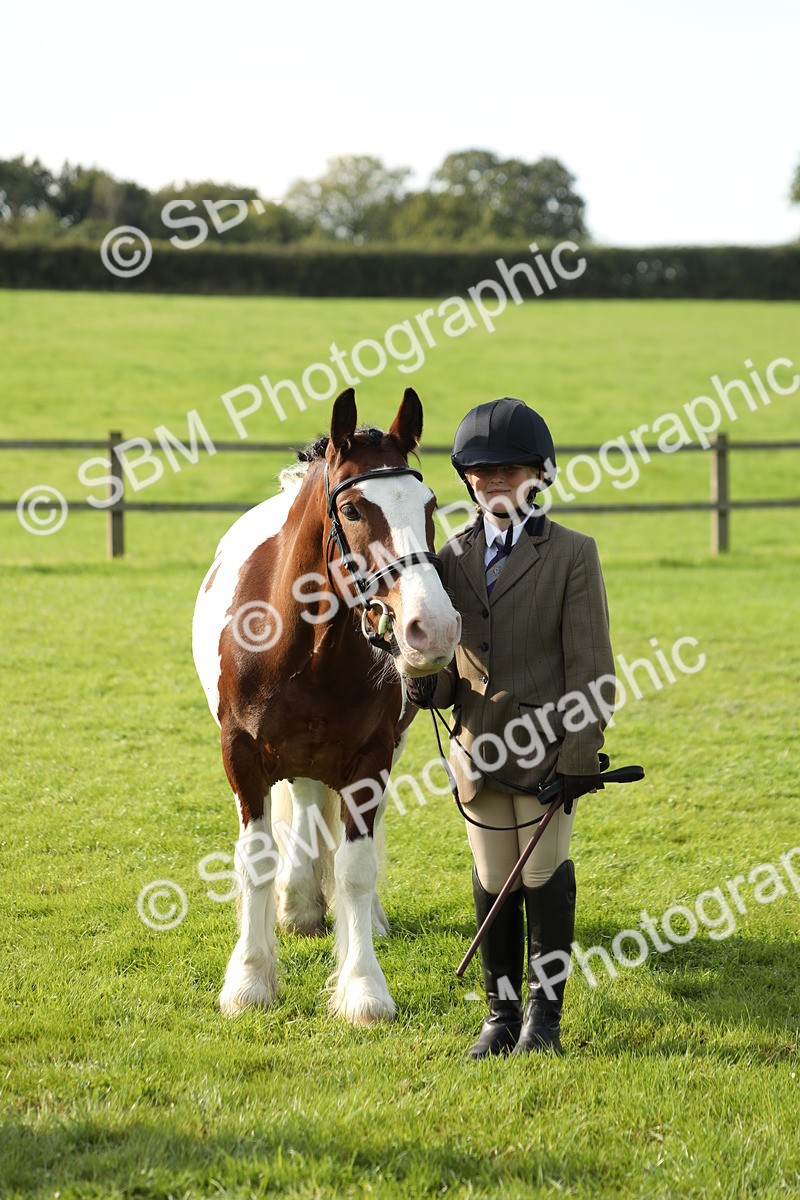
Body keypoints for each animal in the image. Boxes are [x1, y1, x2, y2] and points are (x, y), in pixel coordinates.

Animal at [192, 387, 461, 1024]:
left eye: (430, 503)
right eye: (356, 510)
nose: (432, 628)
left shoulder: (372, 759)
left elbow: (357, 868)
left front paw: (363, 987)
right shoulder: (242, 758)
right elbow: (255, 859)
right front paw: (250, 980)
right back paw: (298, 906)